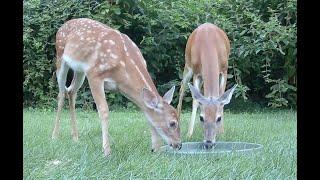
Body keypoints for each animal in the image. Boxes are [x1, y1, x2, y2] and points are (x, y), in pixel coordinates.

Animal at [52, 18, 182, 156]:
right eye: (172, 123)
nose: (179, 144)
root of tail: (63, 26)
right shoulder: (94, 74)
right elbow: (104, 110)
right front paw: (106, 151)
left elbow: (145, 113)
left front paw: (155, 148)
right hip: (60, 56)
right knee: (61, 93)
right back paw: (54, 136)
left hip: (80, 71)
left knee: (71, 91)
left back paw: (75, 137)